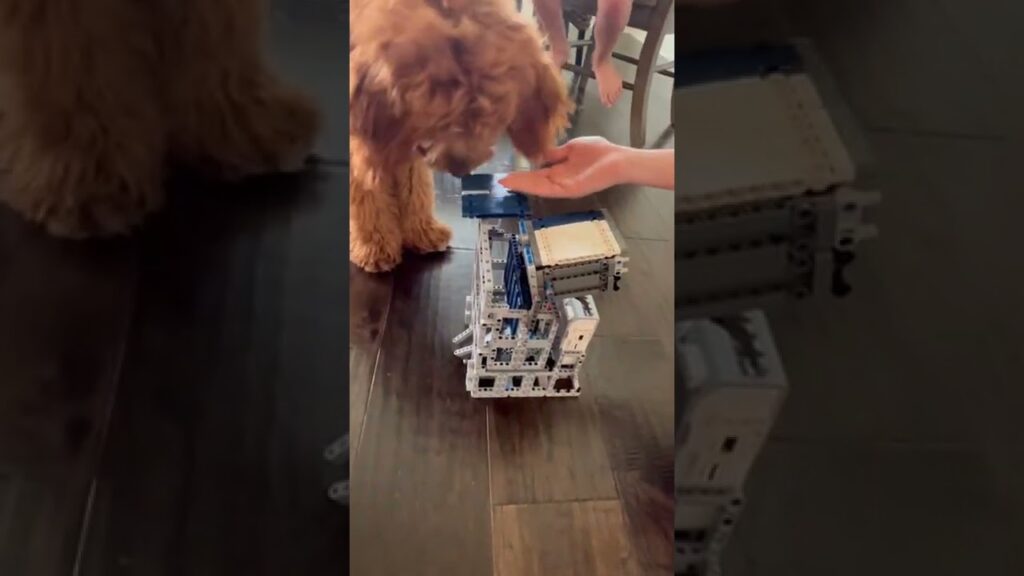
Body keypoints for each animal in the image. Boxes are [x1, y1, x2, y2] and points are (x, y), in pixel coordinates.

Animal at [350, 0, 577, 270]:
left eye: (493, 113)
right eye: (438, 116)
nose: (460, 169)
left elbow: (415, 186)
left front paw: (422, 230)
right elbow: (368, 194)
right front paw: (375, 245)